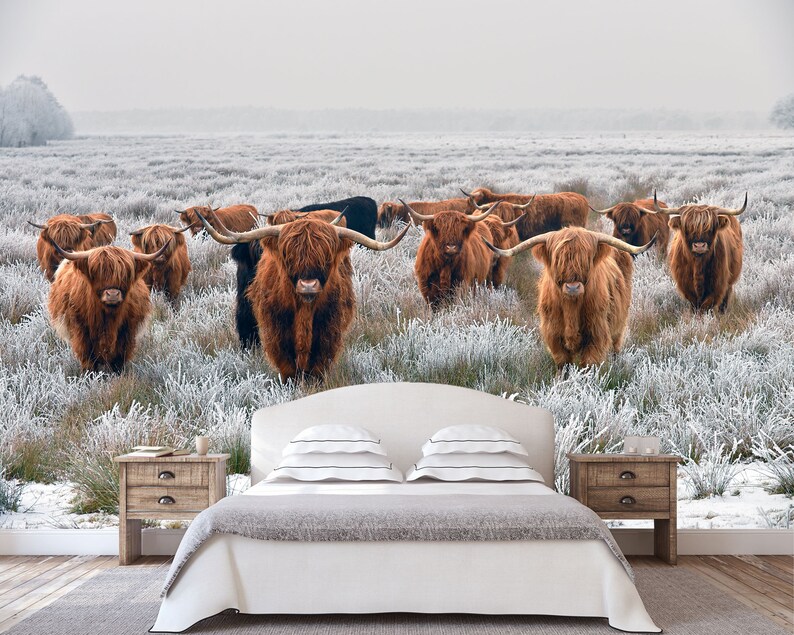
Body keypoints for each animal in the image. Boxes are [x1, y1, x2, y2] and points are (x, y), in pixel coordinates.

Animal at [47, 240, 170, 372]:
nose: (113, 294)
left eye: (125, 274)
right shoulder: (81, 332)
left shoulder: (127, 332)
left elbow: (119, 359)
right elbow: (88, 359)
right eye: (96, 272)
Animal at [195, 209, 408, 379]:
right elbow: (287, 364)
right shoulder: (276, 330)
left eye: (326, 257)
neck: (304, 310)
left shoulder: (329, 329)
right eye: (288, 255)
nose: (308, 285)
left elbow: (318, 363)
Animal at [483, 227, 656, 368]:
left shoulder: (597, 334)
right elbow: (563, 364)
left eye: (586, 259)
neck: (571, 308)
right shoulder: (554, 335)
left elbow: (588, 365)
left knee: (616, 346)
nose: (573, 287)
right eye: (558, 259)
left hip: (619, 325)